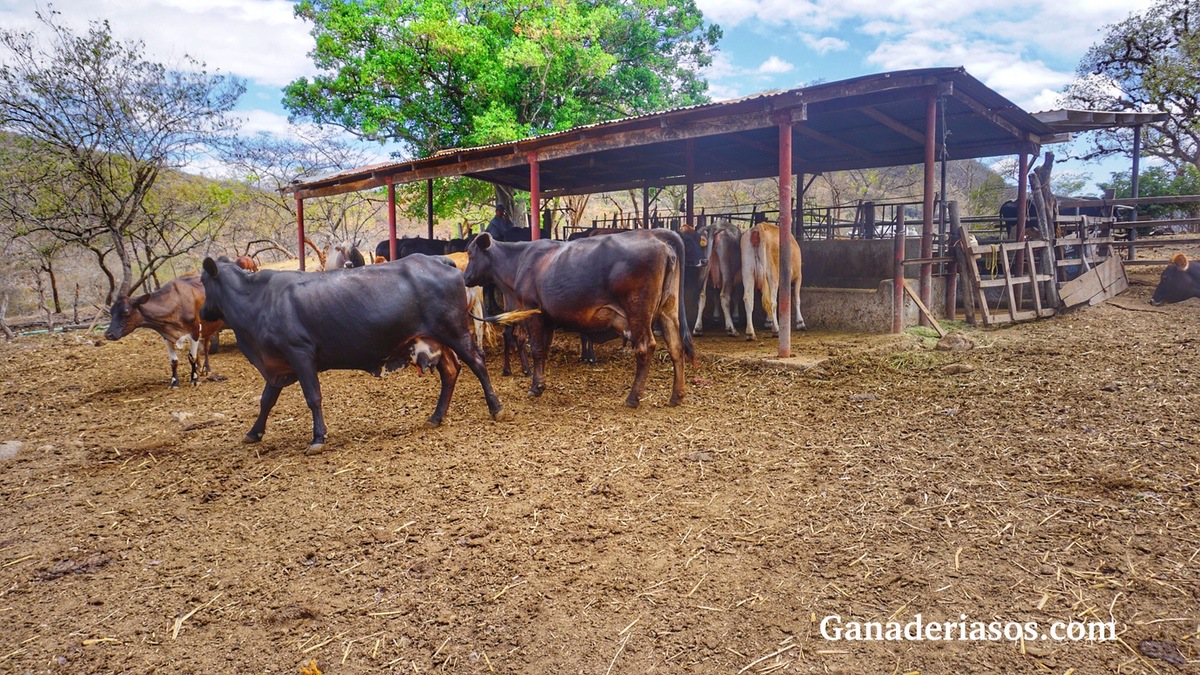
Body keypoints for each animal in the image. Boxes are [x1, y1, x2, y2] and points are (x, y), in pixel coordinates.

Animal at [198, 254, 516, 454]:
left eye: (202, 281)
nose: (201, 313)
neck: (258, 301)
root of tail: (438, 259)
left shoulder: (300, 354)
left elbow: (313, 397)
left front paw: (318, 438)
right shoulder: (277, 366)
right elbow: (266, 401)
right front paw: (254, 432)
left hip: (455, 332)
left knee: (477, 361)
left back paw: (495, 407)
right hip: (435, 339)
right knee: (451, 371)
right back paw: (436, 417)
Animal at [465, 228, 700, 403]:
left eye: (470, 254)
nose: (465, 277)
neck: (519, 261)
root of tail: (655, 235)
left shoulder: (534, 312)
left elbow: (536, 349)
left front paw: (535, 386)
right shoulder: (548, 317)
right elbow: (544, 350)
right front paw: (540, 383)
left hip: (639, 312)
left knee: (645, 348)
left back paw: (633, 397)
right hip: (668, 310)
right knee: (676, 346)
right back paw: (677, 395)